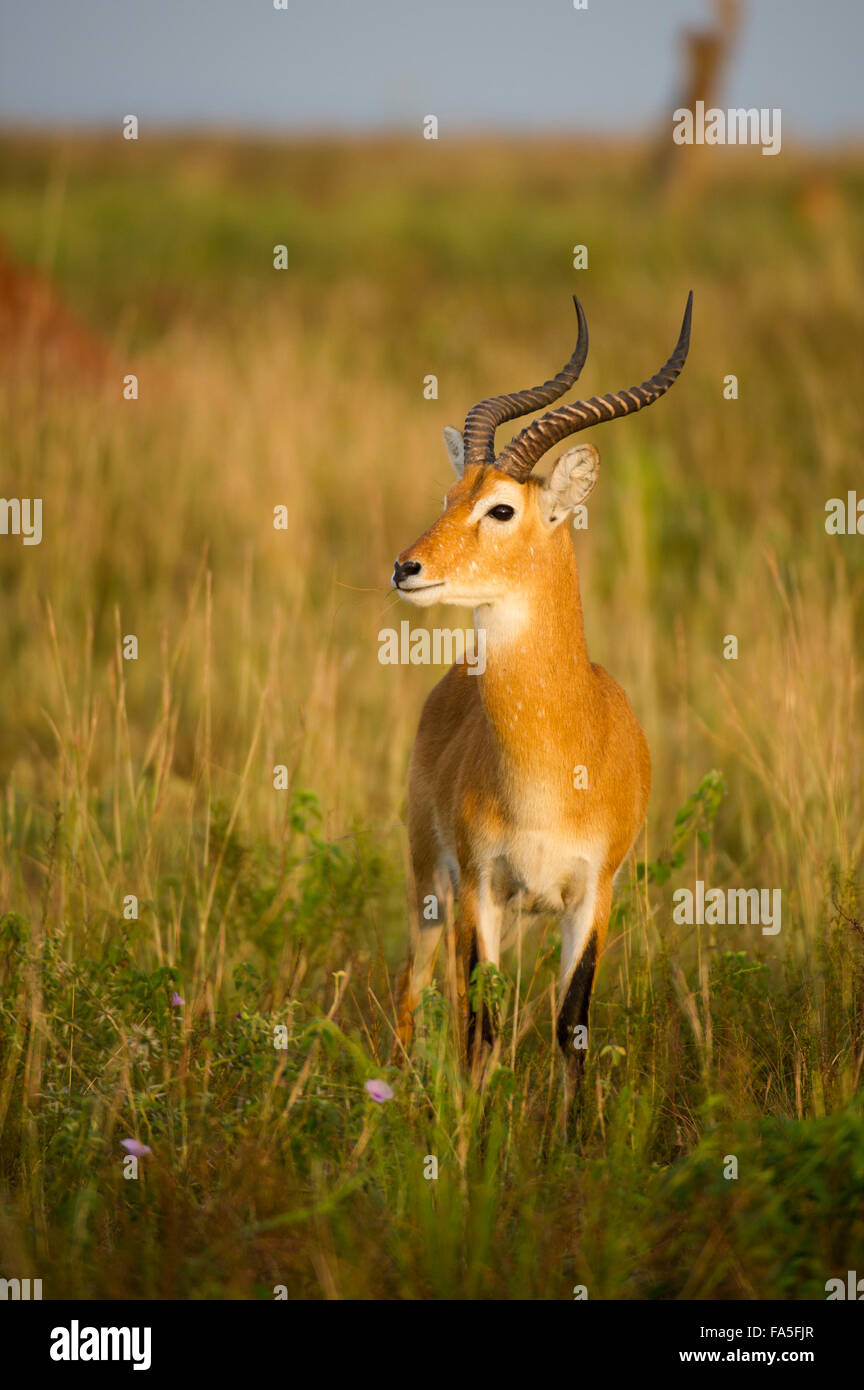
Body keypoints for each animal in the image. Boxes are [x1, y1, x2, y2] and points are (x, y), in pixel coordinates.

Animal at [397, 296, 694, 1117]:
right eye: (449, 498)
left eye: (500, 509)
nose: (407, 567)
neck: (556, 760)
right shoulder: (480, 884)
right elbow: (483, 1021)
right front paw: (473, 1138)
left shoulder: (593, 893)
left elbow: (570, 1027)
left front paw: (569, 1140)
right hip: (431, 884)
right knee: (416, 989)